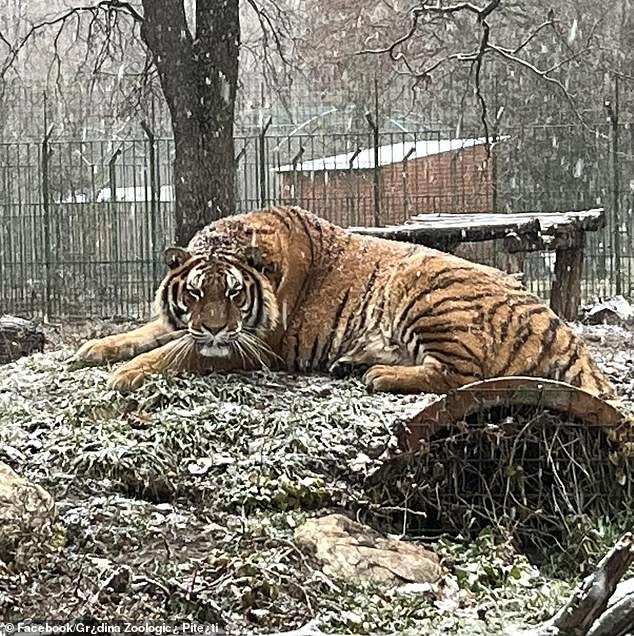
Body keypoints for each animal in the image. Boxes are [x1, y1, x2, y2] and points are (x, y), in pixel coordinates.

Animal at [71, 206, 616, 400]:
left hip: (427, 293)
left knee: (463, 376)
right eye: (194, 293)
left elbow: (173, 354)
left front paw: (126, 373)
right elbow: (148, 332)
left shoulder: (255, 346)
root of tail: (560, 326)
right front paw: (95, 349)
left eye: (234, 294)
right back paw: (353, 364)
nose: (212, 329)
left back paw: (378, 375)